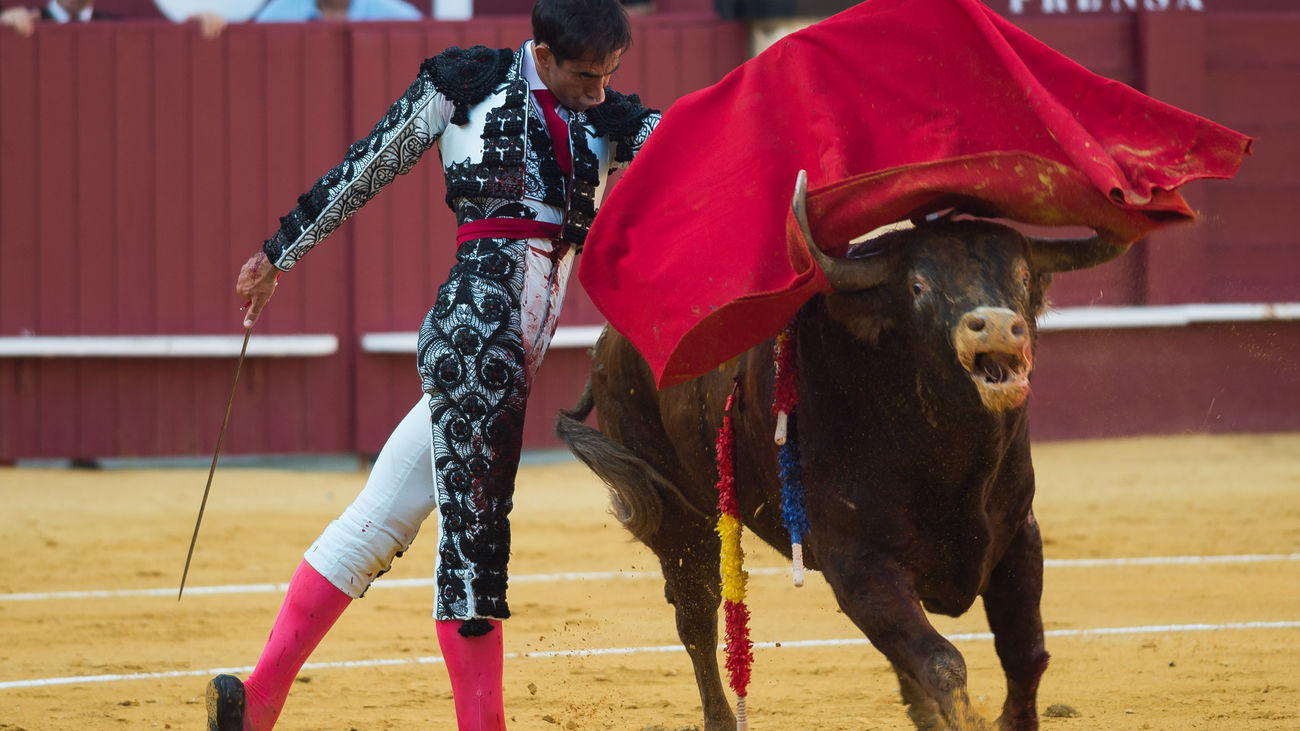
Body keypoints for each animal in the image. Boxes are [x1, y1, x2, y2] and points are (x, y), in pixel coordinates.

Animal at [556, 171, 1128, 728]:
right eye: (917, 285)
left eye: (1023, 276)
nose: (995, 326)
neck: (948, 457)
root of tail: (607, 341)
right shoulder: (856, 559)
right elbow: (943, 662)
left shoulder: (1017, 534)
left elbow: (1024, 653)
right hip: (678, 520)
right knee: (696, 614)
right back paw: (719, 718)